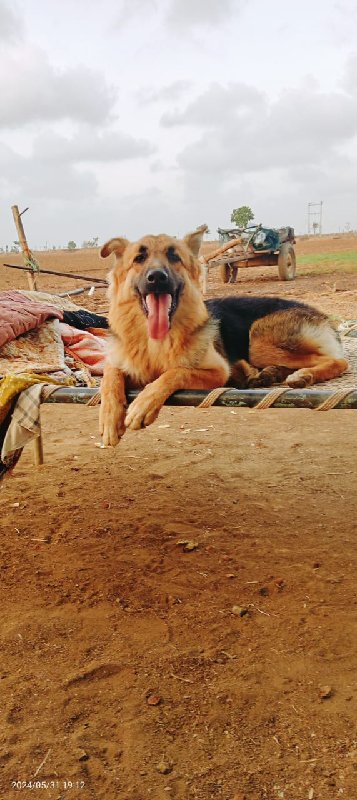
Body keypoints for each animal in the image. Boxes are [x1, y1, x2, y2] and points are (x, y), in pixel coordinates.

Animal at [99, 228, 348, 446]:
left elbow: (174, 373)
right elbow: (110, 376)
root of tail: (322, 315)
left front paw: (143, 405)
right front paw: (110, 418)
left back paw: (303, 375)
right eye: (139, 257)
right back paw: (267, 374)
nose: (157, 277)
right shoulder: (123, 364)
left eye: (174, 256)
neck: (155, 343)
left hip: (258, 339)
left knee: (339, 361)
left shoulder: (218, 372)